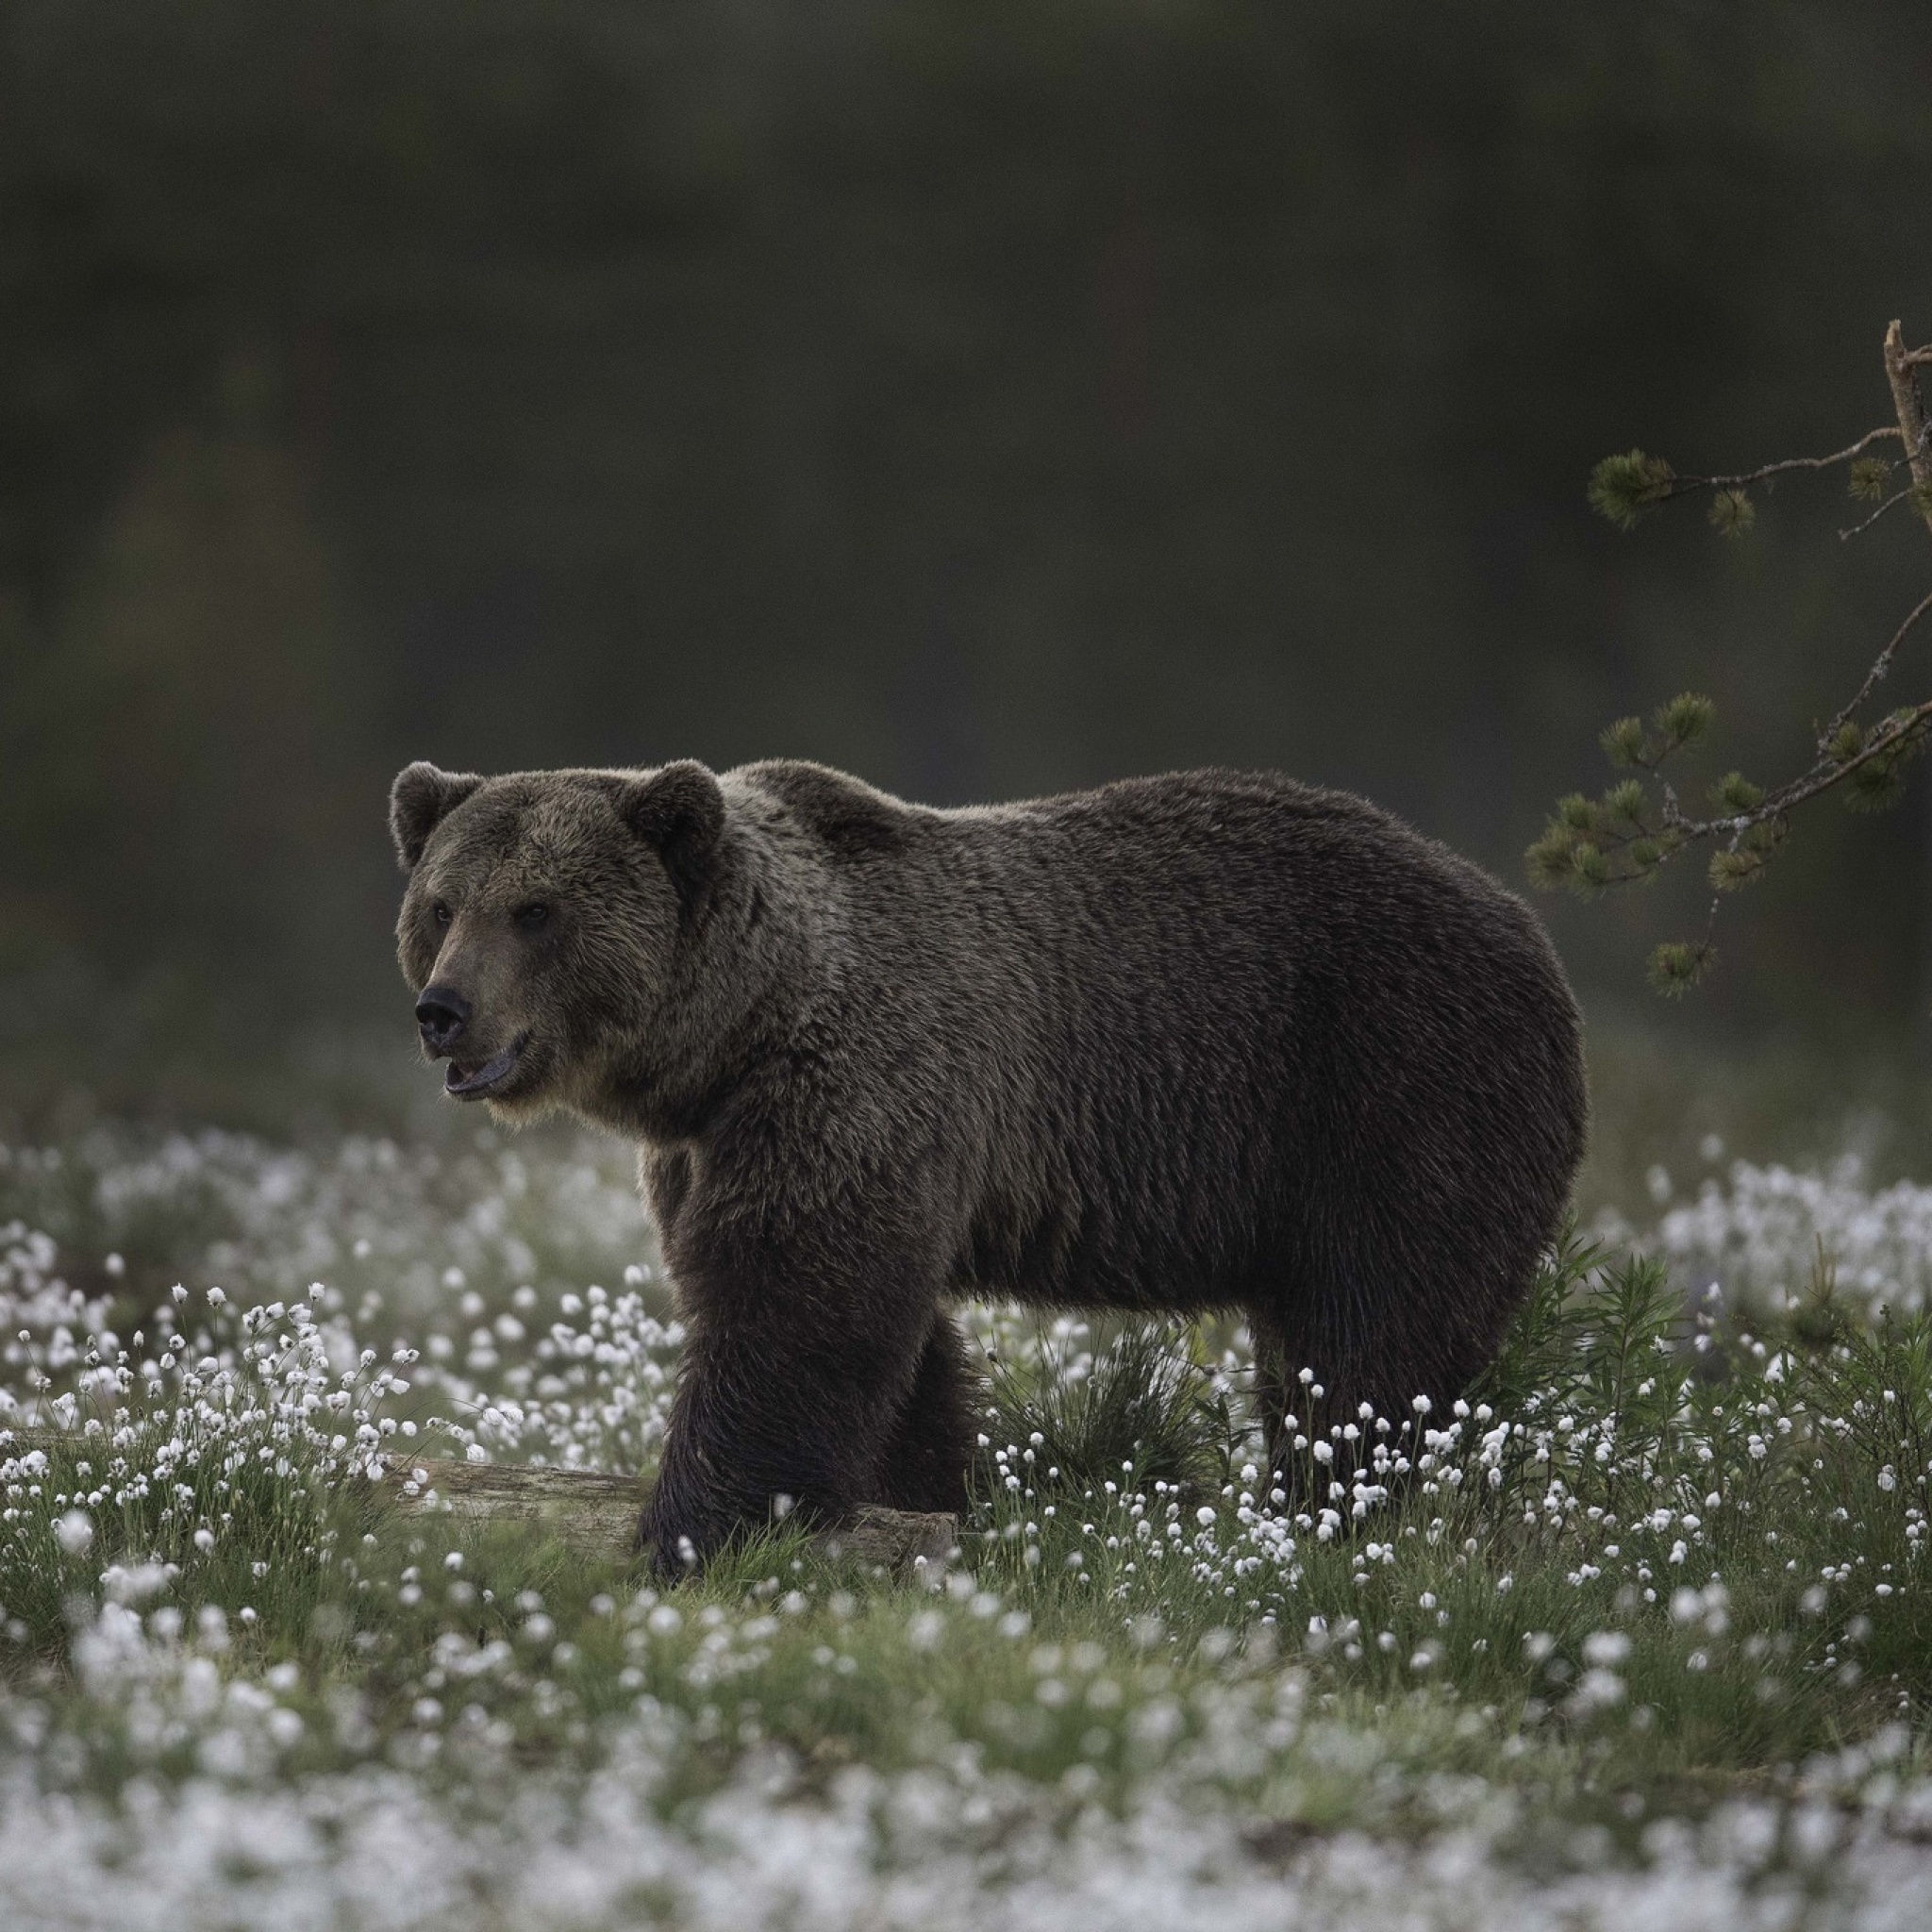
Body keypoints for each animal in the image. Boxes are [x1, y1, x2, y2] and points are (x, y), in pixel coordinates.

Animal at [388, 753, 1584, 1568]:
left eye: (535, 909)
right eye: (441, 905)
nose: (441, 1011)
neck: (741, 1030)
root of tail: (1526, 925)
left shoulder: (858, 1082)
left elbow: (793, 1308)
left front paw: (690, 1528)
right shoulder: (719, 1145)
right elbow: (880, 1341)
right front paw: (923, 1496)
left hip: (1393, 1088)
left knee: (1369, 1338)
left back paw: (1322, 1504)